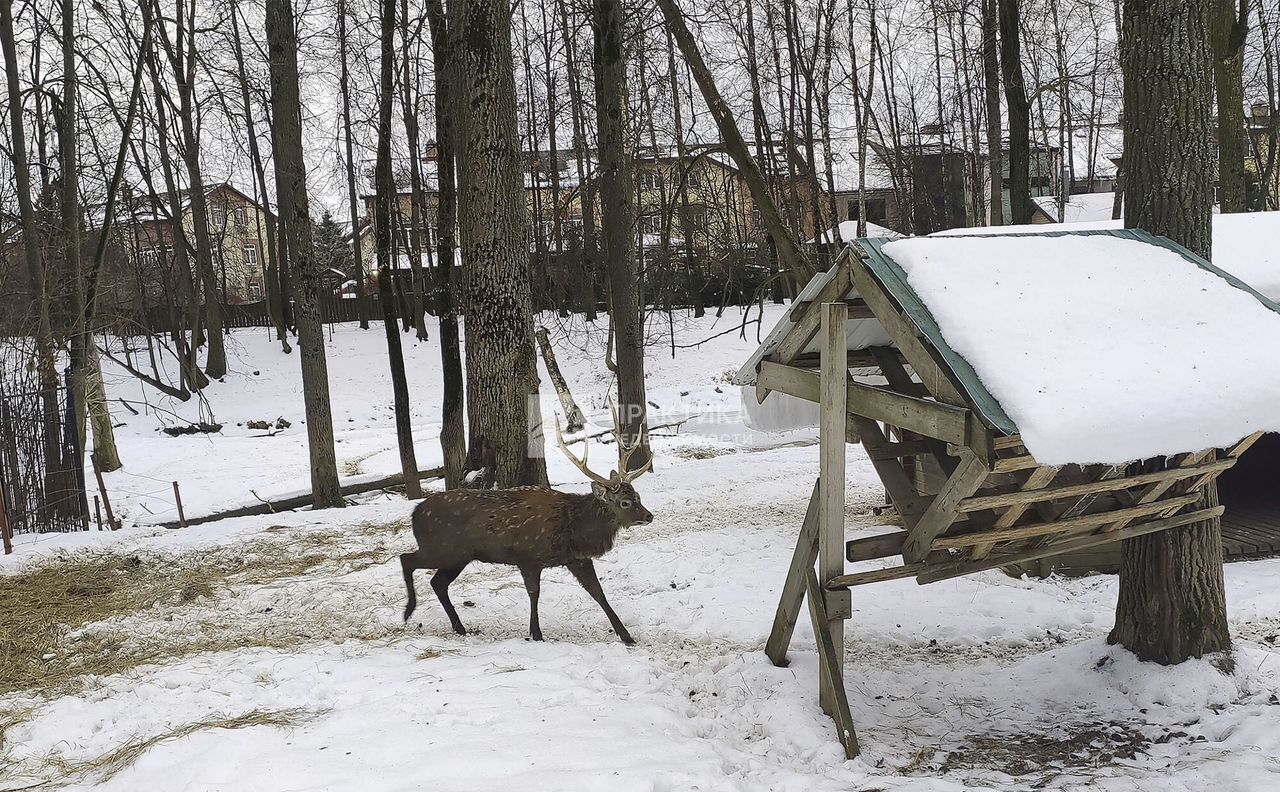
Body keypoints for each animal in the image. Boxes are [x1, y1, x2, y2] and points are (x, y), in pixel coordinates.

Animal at [399, 409, 655, 644]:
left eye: (638, 496)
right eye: (624, 502)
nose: (649, 516)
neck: (572, 527)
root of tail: (415, 514)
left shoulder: (576, 558)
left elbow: (597, 592)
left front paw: (626, 636)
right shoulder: (528, 556)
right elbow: (534, 594)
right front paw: (536, 633)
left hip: (458, 557)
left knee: (437, 582)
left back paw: (460, 628)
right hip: (443, 549)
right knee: (407, 559)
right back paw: (408, 612)